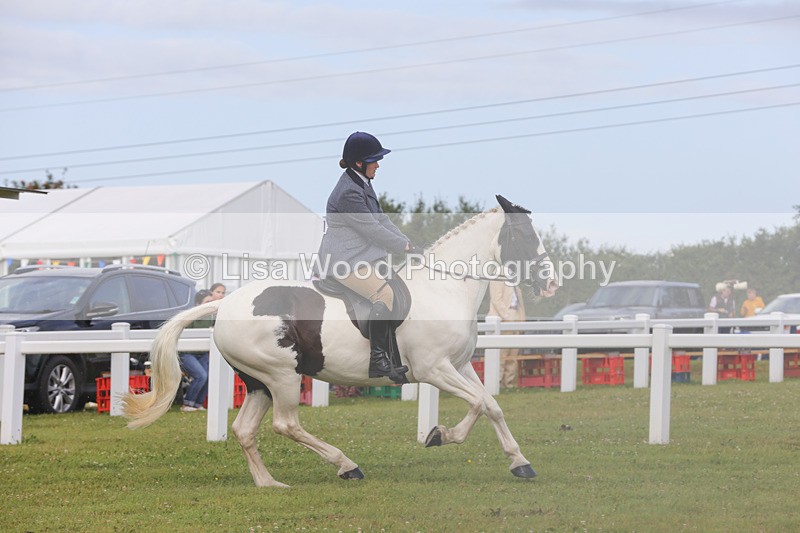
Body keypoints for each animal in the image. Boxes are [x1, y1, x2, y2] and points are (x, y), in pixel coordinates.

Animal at [122, 195, 559, 487]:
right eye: (524, 235)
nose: (551, 283)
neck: (445, 288)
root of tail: (225, 302)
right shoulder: (434, 369)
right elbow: (480, 404)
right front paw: (442, 436)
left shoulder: (461, 365)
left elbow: (491, 405)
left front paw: (518, 462)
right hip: (281, 376)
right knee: (286, 424)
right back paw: (346, 465)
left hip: (258, 382)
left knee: (246, 430)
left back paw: (269, 483)